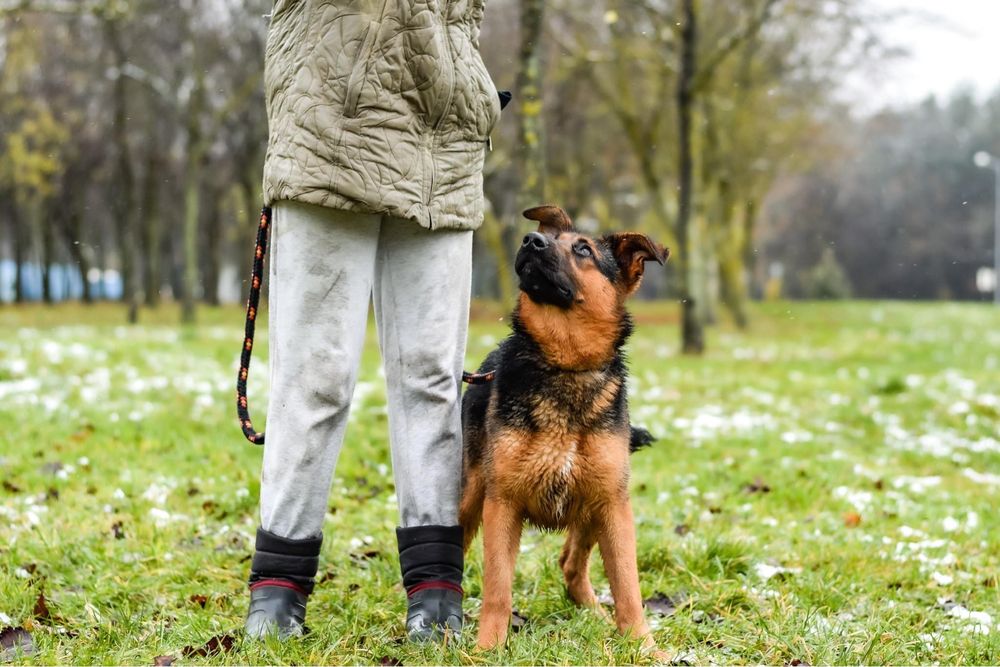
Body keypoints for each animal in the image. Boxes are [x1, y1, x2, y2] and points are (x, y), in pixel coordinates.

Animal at [460, 205, 672, 656]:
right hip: (470, 497)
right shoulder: (502, 503)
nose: (530, 240)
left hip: (593, 501)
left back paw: (595, 615)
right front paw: (488, 648)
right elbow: (497, 587)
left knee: (572, 565)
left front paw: (642, 645)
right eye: (548, 237)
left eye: (583, 249)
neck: (565, 365)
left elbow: (628, 586)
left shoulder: (613, 504)